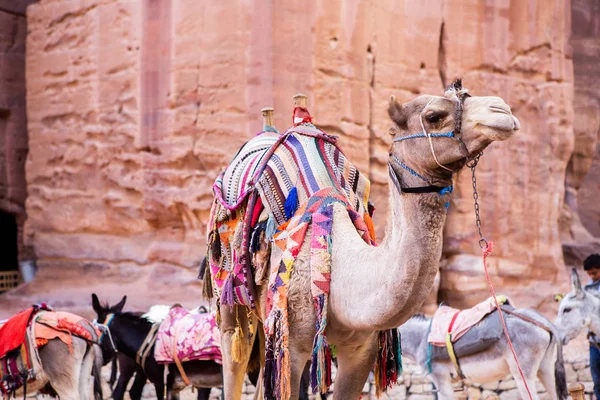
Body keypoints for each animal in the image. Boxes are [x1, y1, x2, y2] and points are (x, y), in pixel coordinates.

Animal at [212, 80, 520, 396]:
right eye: (434, 116)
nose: (502, 110)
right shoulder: (290, 346)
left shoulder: (361, 348)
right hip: (231, 301)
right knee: (234, 353)